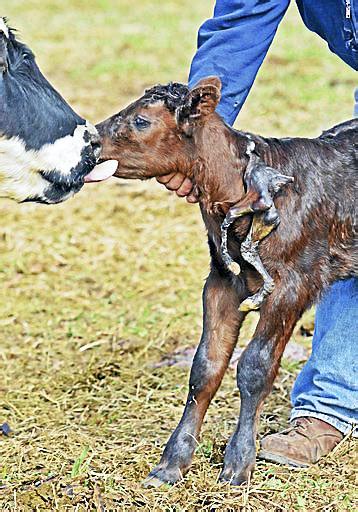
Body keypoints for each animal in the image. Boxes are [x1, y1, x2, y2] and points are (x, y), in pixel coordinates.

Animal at [96, 77, 356, 488]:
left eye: (140, 120)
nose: (90, 139)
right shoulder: (221, 282)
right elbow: (205, 367)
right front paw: (172, 463)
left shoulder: (291, 285)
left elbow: (255, 367)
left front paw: (238, 463)